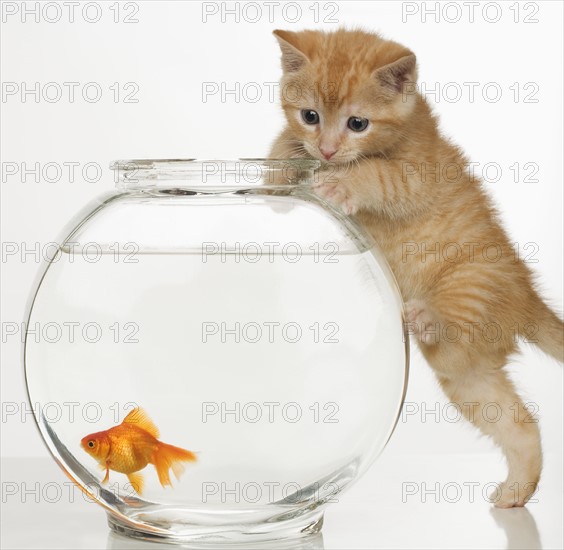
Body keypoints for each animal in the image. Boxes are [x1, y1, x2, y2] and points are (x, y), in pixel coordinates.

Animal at [268, 25, 564, 508]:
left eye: (357, 123)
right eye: (310, 115)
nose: (327, 151)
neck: (407, 130)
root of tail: (526, 294)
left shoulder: (418, 174)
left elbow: (377, 173)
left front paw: (342, 182)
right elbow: (288, 144)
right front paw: (277, 167)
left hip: (470, 284)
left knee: (453, 333)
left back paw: (427, 316)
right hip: (468, 379)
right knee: (516, 420)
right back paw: (517, 491)